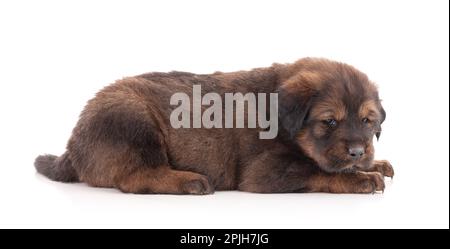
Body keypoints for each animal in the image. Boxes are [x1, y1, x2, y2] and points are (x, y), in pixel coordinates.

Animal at [36, 57, 394, 195]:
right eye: (329, 121)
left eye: (367, 120)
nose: (358, 152)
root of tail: (72, 145)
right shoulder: (265, 171)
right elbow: (318, 171)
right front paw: (361, 178)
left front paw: (374, 164)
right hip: (132, 119)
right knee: (136, 177)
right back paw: (189, 181)